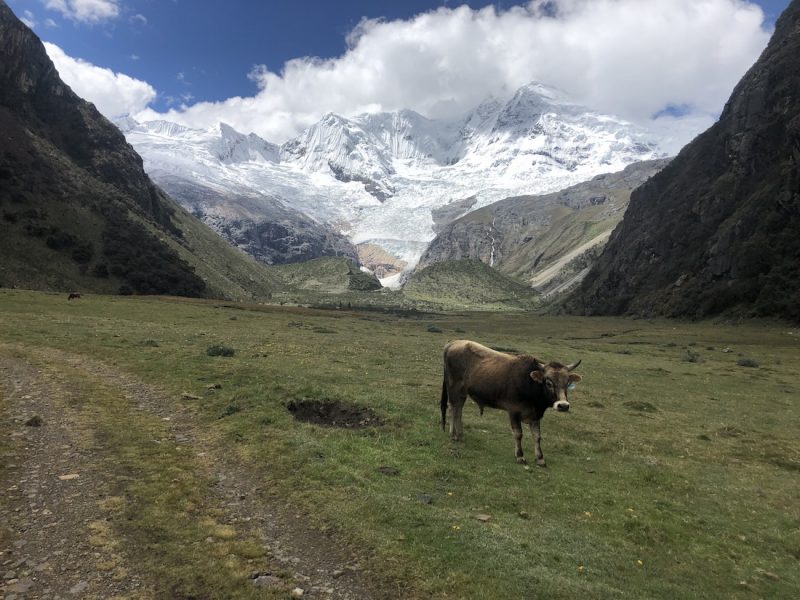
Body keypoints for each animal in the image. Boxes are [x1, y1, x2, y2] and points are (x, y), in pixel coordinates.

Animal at [440, 340, 584, 466]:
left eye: (567, 382)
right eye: (548, 382)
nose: (563, 405)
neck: (530, 383)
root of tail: (453, 343)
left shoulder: (535, 415)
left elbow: (537, 436)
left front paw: (540, 459)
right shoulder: (513, 411)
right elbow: (518, 434)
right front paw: (520, 456)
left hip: (462, 392)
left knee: (458, 409)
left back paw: (459, 435)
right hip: (453, 387)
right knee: (452, 408)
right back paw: (452, 435)